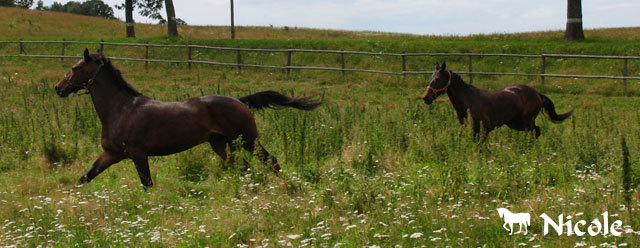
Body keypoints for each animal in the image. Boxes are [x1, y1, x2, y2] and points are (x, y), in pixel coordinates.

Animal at [55, 49, 322, 188]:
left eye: (75, 68)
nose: (59, 88)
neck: (121, 110)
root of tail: (238, 100)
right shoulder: (112, 154)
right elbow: (85, 177)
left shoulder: (137, 154)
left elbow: (147, 183)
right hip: (221, 144)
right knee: (243, 167)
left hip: (247, 139)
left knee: (271, 161)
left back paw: (285, 188)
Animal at [422, 62, 572, 139]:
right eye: (430, 78)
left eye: (437, 79)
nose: (426, 97)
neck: (468, 101)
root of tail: (537, 94)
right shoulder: (472, 130)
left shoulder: (484, 129)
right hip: (515, 123)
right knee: (536, 131)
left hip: (526, 120)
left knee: (535, 131)